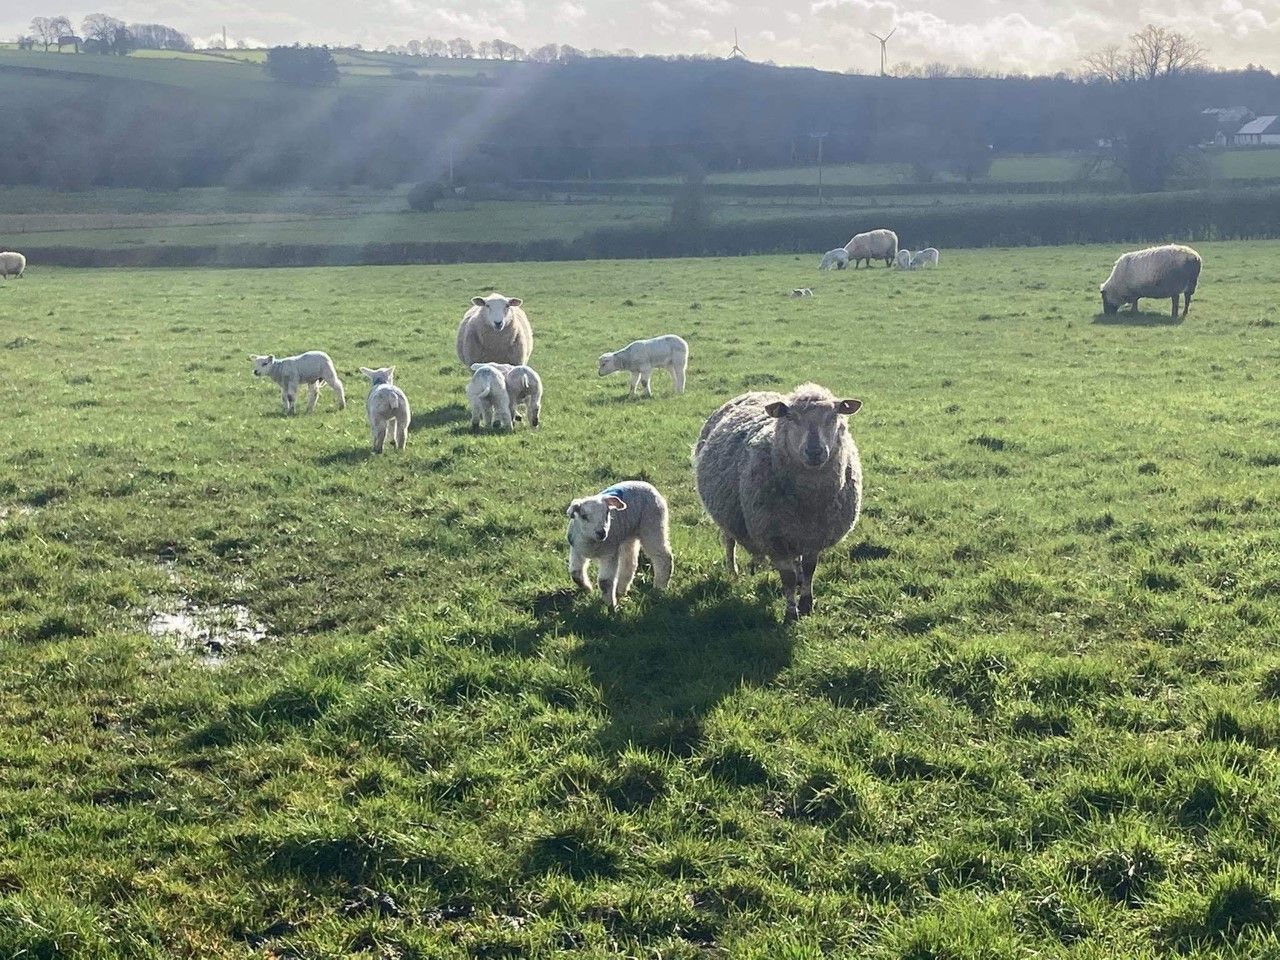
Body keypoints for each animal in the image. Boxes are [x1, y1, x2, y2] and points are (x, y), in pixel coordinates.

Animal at [565, 480, 673, 609]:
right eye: (584, 516)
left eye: (607, 512)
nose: (602, 532)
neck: (592, 543)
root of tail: (646, 484)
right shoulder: (576, 550)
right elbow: (575, 573)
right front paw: (588, 589)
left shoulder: (609, 553)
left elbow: (605, 582)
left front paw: (610, 606)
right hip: (629, 534)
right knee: (630, 562)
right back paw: (621, 590)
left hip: (653, 525)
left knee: (663, 557)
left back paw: (659, 588)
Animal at [693, 382, 863, 622]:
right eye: (790, 417)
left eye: (833, 416)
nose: (814, 451)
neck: (809, 500)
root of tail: (756, 391)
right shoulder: (775, 537)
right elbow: (787, 577)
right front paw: (791, 612)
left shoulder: (815, 536)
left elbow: (809, 568)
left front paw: (807, 603)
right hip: (728, 513)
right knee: (729, 541)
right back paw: (733, 572)